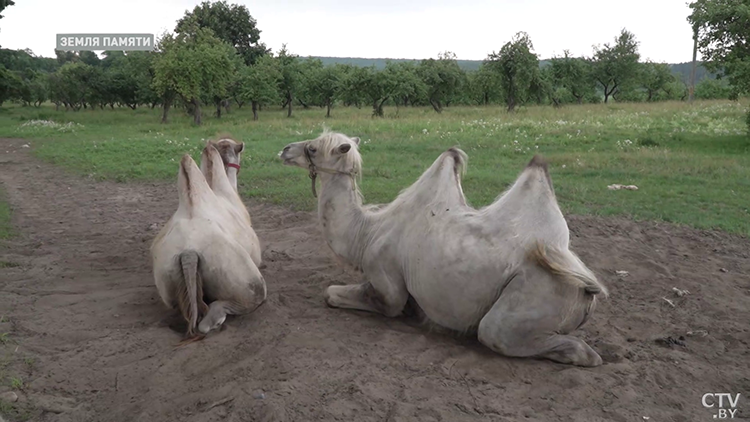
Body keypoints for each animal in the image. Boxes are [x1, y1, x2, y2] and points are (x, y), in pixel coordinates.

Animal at [282, 131, 612, 366]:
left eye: (314, 148)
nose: (286, 149)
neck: (366, 232)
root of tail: (587, 290)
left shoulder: (386, 280)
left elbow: (337, 295)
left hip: (532, 294)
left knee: (499, 334)